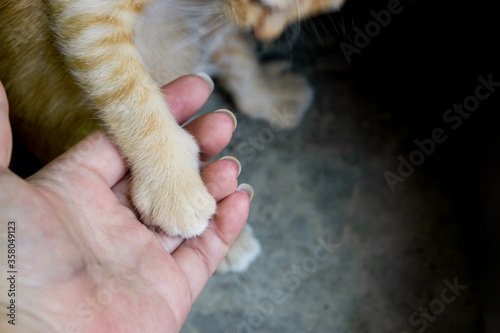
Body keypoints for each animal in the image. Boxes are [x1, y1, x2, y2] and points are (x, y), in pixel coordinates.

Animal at [0, 0, 344, 245]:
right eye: (269, 7)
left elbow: (234, 49)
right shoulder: (86, 12)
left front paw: (267, 94)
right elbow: (124, 84)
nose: (263, 35)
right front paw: (173, 186)